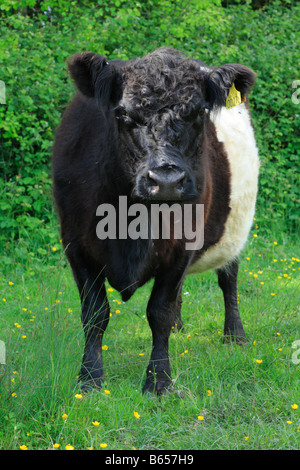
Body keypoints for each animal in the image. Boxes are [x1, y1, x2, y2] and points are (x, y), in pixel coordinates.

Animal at [52, 47, 258, 394]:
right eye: (122, 114)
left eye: (200, 113)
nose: (166, 181)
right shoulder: (75, 245)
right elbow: (95, 312)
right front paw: (90, 378)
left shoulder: (183, 246)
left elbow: (159, 311)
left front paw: (159, 380)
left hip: (234, 231)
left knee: (228, 278)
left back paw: (235, 335)